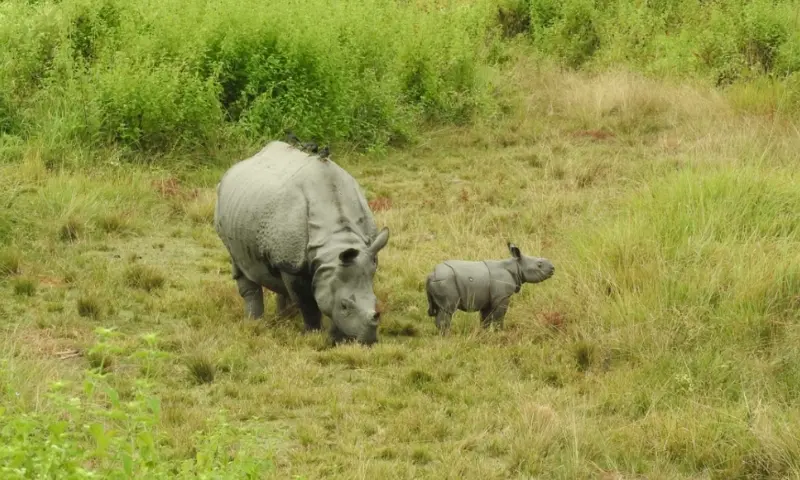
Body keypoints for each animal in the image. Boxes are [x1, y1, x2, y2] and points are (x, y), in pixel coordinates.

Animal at [213, 140, 390, 345]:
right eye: (345, 306)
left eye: (376, 304)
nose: (368, 340)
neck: (335, 241)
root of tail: (234, 168)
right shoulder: (292, 266)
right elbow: (308, 303)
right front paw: (314, 334)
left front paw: (337, 339)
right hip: (225, 209)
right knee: (239, 263)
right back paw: (254, 323)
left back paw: (284, 318)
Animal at [425, 242, 554, 334]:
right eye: (539, 265)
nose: (553, 268)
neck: (516, 266)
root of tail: (430, 275)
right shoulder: (502, 296)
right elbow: (499, 316)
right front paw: (500, 333)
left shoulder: (486, 298)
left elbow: (485, 319)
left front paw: (484, 334)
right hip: (445, 281)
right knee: (447, 310)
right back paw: (447, 337)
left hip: (441, 281)